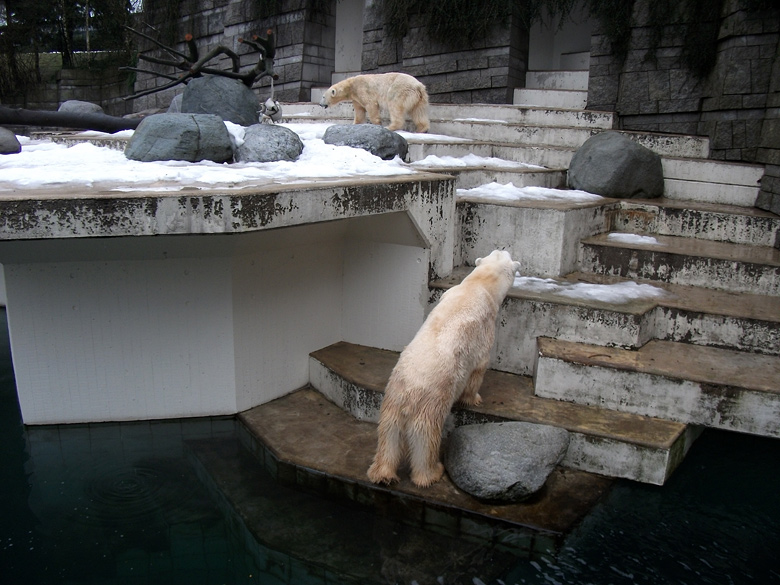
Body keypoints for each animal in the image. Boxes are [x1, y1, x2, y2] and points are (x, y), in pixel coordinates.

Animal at [368, 249, 524, 486]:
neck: (478, 285)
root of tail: (408, 394)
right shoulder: (484, 331)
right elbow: (477, 369)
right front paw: (474, 399)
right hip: (430, 404)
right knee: (426, 441)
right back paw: (432, 473)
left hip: (391, 401)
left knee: (388, 435)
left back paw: (382, 474)